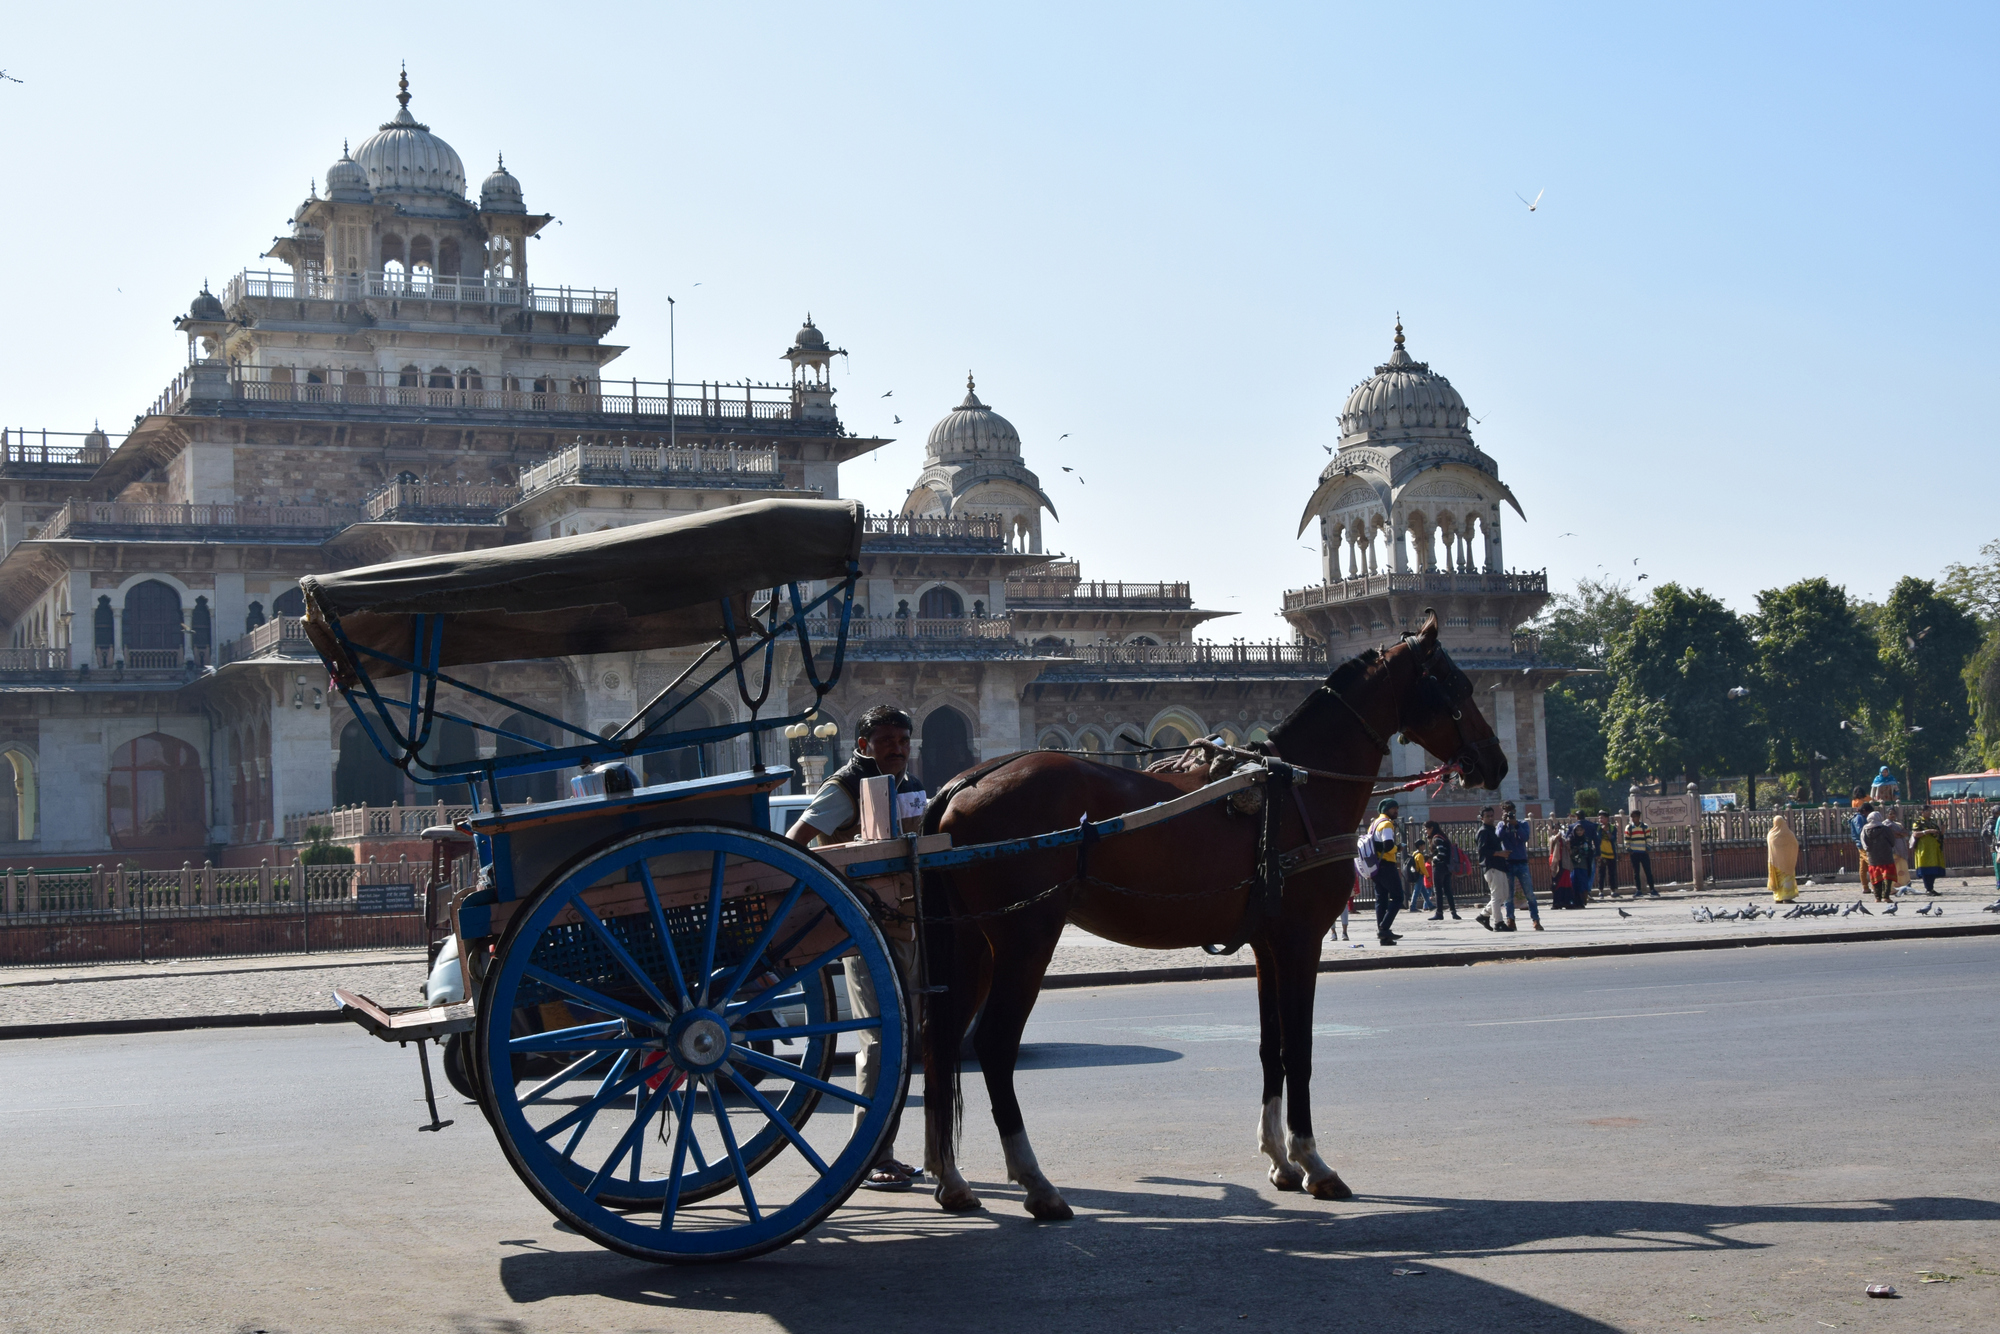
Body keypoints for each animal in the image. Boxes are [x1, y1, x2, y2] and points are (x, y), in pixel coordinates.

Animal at [916, 616, 1504, 1224]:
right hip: (1026, 934)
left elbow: (1272, 1048)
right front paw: (1313, 1162)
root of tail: (964, 781)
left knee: (937, 1036)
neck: (1300, 787)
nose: (1495, 763)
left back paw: (950, 1177)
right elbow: (1300, 1049)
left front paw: (1279, 1160)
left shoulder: (1268, 943)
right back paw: (1035, 1181)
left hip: (969, 938)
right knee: (992, 1044)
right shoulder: (1301, 938)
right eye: (1457, 686)